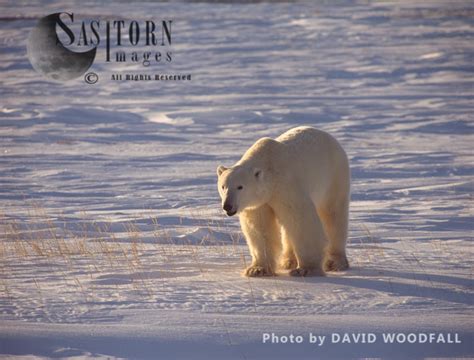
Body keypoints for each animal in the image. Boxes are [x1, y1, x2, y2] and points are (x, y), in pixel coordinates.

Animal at [217, 126, 350, 278]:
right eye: (223, 186)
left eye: (240, 187)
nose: (227, 206)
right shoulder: (259, 203)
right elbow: (260, 228)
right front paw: (257, 269)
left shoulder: (286, 186)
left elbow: (301, 220)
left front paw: (305, 269)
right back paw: (288, 261)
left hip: (333, 177)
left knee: (333, 215)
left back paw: (335, 262)